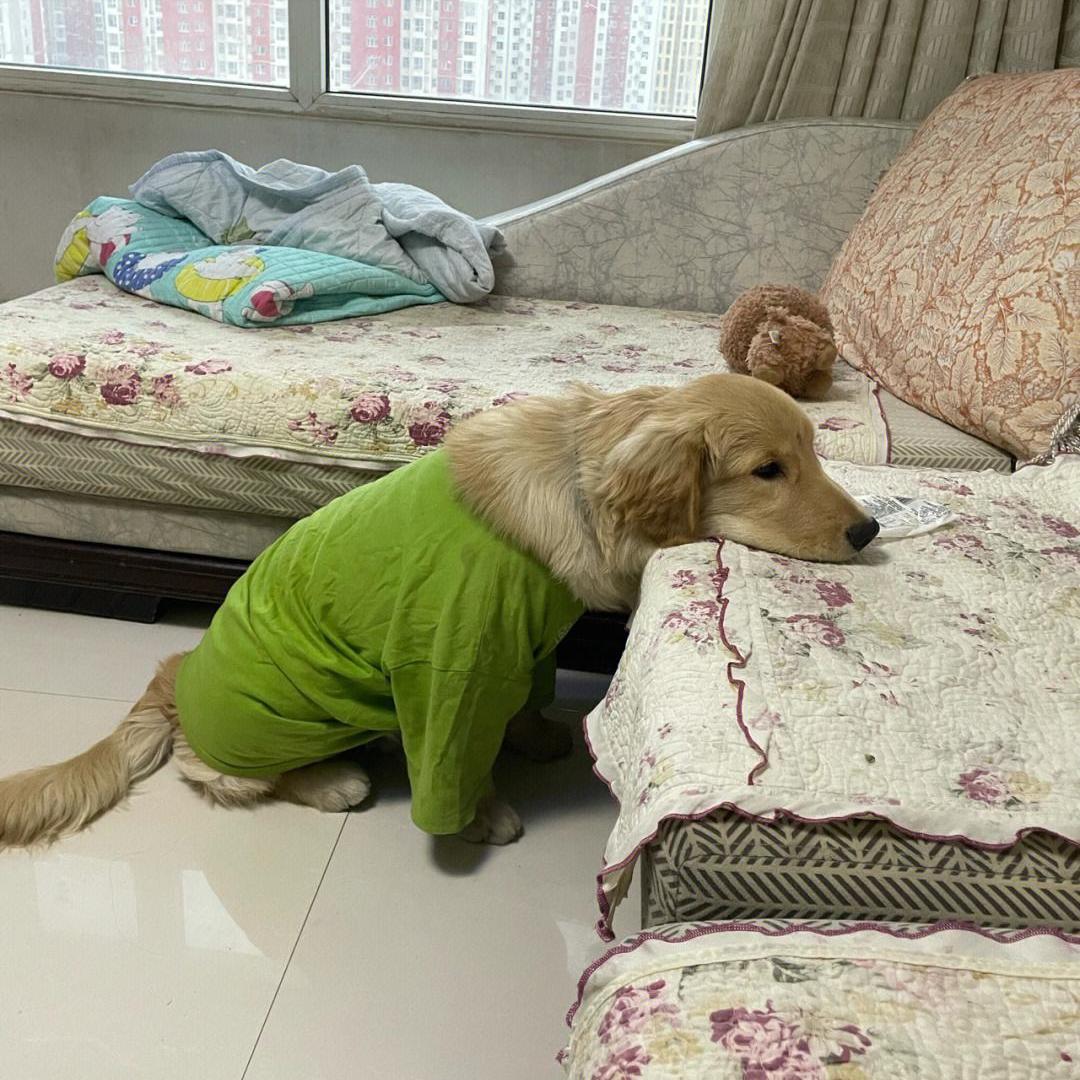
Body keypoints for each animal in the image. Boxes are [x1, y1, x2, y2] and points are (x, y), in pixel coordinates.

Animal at [0, 374, 878, 849]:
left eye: (814, 451)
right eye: (768, 470)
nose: (868, 529)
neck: (579, 486)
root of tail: (170, 683)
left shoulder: (528, 643)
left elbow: (525, 705)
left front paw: (537, 736)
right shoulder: (455, 662)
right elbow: (459, 758)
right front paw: (481, 819)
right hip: (278, 731)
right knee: (241, 777)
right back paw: (332, 781)